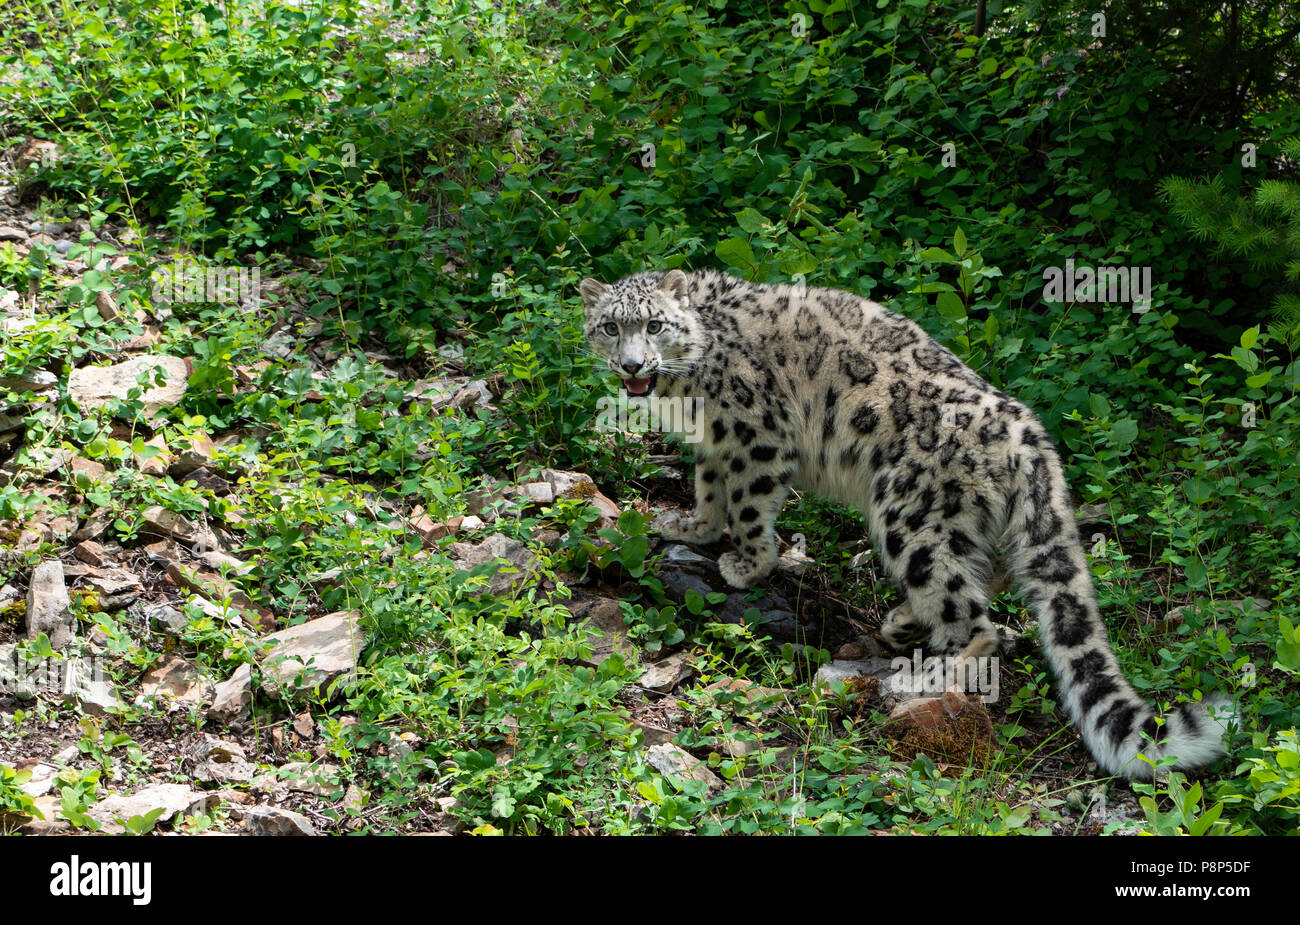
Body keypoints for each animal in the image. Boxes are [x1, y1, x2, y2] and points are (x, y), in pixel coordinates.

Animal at [580, 267, 1236, 781]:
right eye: (610, 327)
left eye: (655, 325)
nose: (632, 365)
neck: (685, 389)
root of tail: (1029, 432)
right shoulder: (715, 444)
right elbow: (710, 490)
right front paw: (690, 528)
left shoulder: (755, 437)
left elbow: (745, 503)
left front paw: (747, 563)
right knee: (985, 577)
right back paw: (901, 624)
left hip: (910, 516)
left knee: (974, 620)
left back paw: (927, 671)